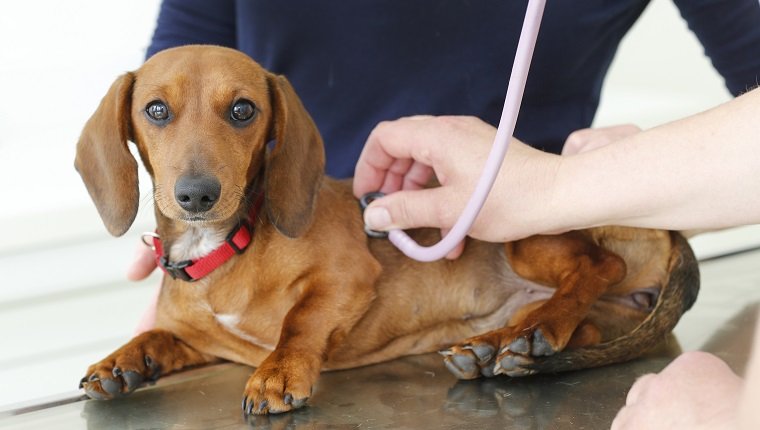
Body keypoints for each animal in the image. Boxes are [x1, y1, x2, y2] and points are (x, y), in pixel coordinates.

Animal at [77, 45, 700, 414]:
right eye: (156, 110)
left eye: (243, 110)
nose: (197, 195)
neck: (227, 247)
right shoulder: (204, 338)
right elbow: (162, 336)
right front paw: (124, 360)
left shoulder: (347, 277)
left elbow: (300, 322)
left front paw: (278, 371)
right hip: (592, 309)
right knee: (585, 326)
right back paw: (505, 347)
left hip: (518, 226)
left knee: (597, 266)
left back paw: (532, 330)